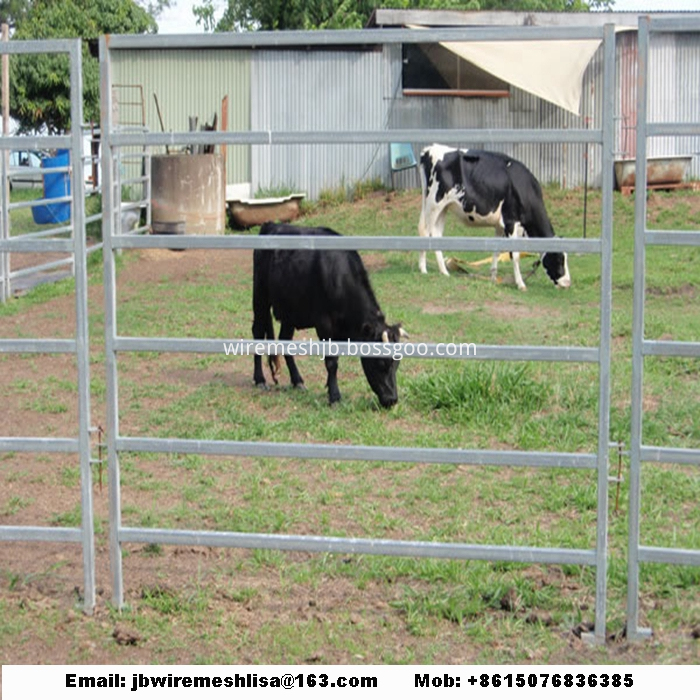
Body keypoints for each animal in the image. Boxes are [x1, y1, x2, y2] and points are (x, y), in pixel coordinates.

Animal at [252, 224, 404, 408]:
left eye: (397, 363)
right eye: (381, 362)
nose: (392, 399)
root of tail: (272, 225)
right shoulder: (324, 324)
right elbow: (331, 362)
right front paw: (334, 396)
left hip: (290, 309)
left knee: (285, 340)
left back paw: (297, 381)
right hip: (260, 296)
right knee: (258, 332)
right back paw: (260, 379)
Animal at [418, 145, 572, 292]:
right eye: (559, 259)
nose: (567, 283)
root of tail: (429, 149)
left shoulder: (500, 225)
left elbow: (497, 250)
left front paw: (493, 278)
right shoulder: (511, 222)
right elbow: (515, 255)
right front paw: (520, 284)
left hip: (443, 207)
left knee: (436, 235)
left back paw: (444, 271)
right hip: (433, 204)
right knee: (425, 233)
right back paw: (423, 269)